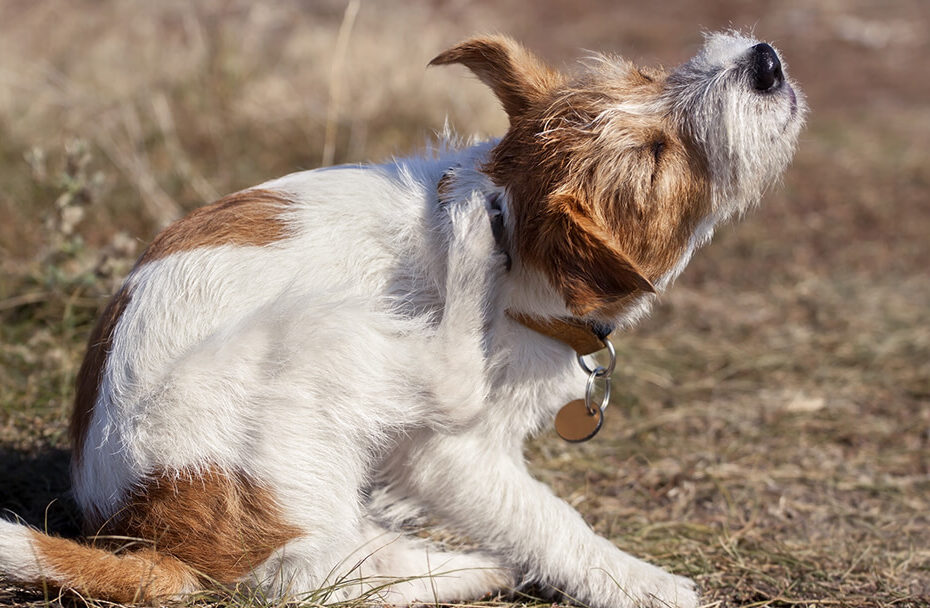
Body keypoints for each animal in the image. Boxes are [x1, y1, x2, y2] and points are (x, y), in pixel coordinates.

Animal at [0, 32, 800, 608]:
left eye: (645, 76)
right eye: (657, 156)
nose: (764, 61)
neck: (521, 245)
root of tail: (152, 538)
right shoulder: (454, 457)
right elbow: (549, 519)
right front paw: (641, 582)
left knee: (344, 567)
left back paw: (470, 567)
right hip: (316, 333)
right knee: (317, 576)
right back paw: (469, 247)